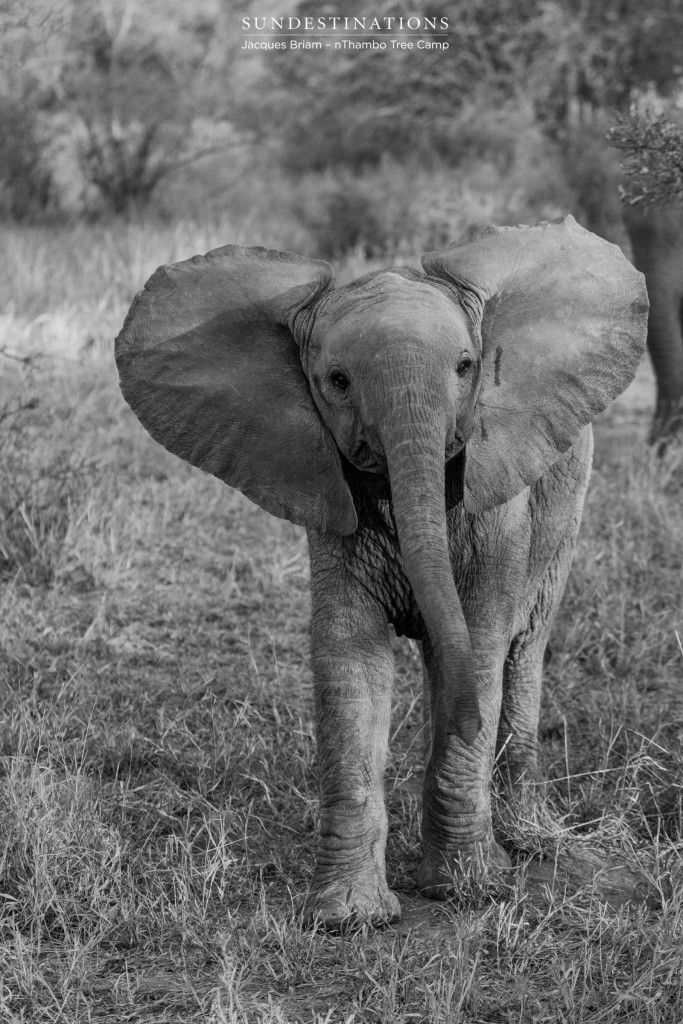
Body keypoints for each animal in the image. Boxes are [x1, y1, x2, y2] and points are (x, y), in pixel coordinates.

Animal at [114, 216, 651, 929]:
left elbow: (479, 641)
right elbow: (350, 657)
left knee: (522, 646)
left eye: (467, 366)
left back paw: (527, 840)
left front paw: (470, 888)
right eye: (337, 380)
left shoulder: (494, 510)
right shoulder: (330, 500)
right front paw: (350, 917)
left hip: (568, 500)